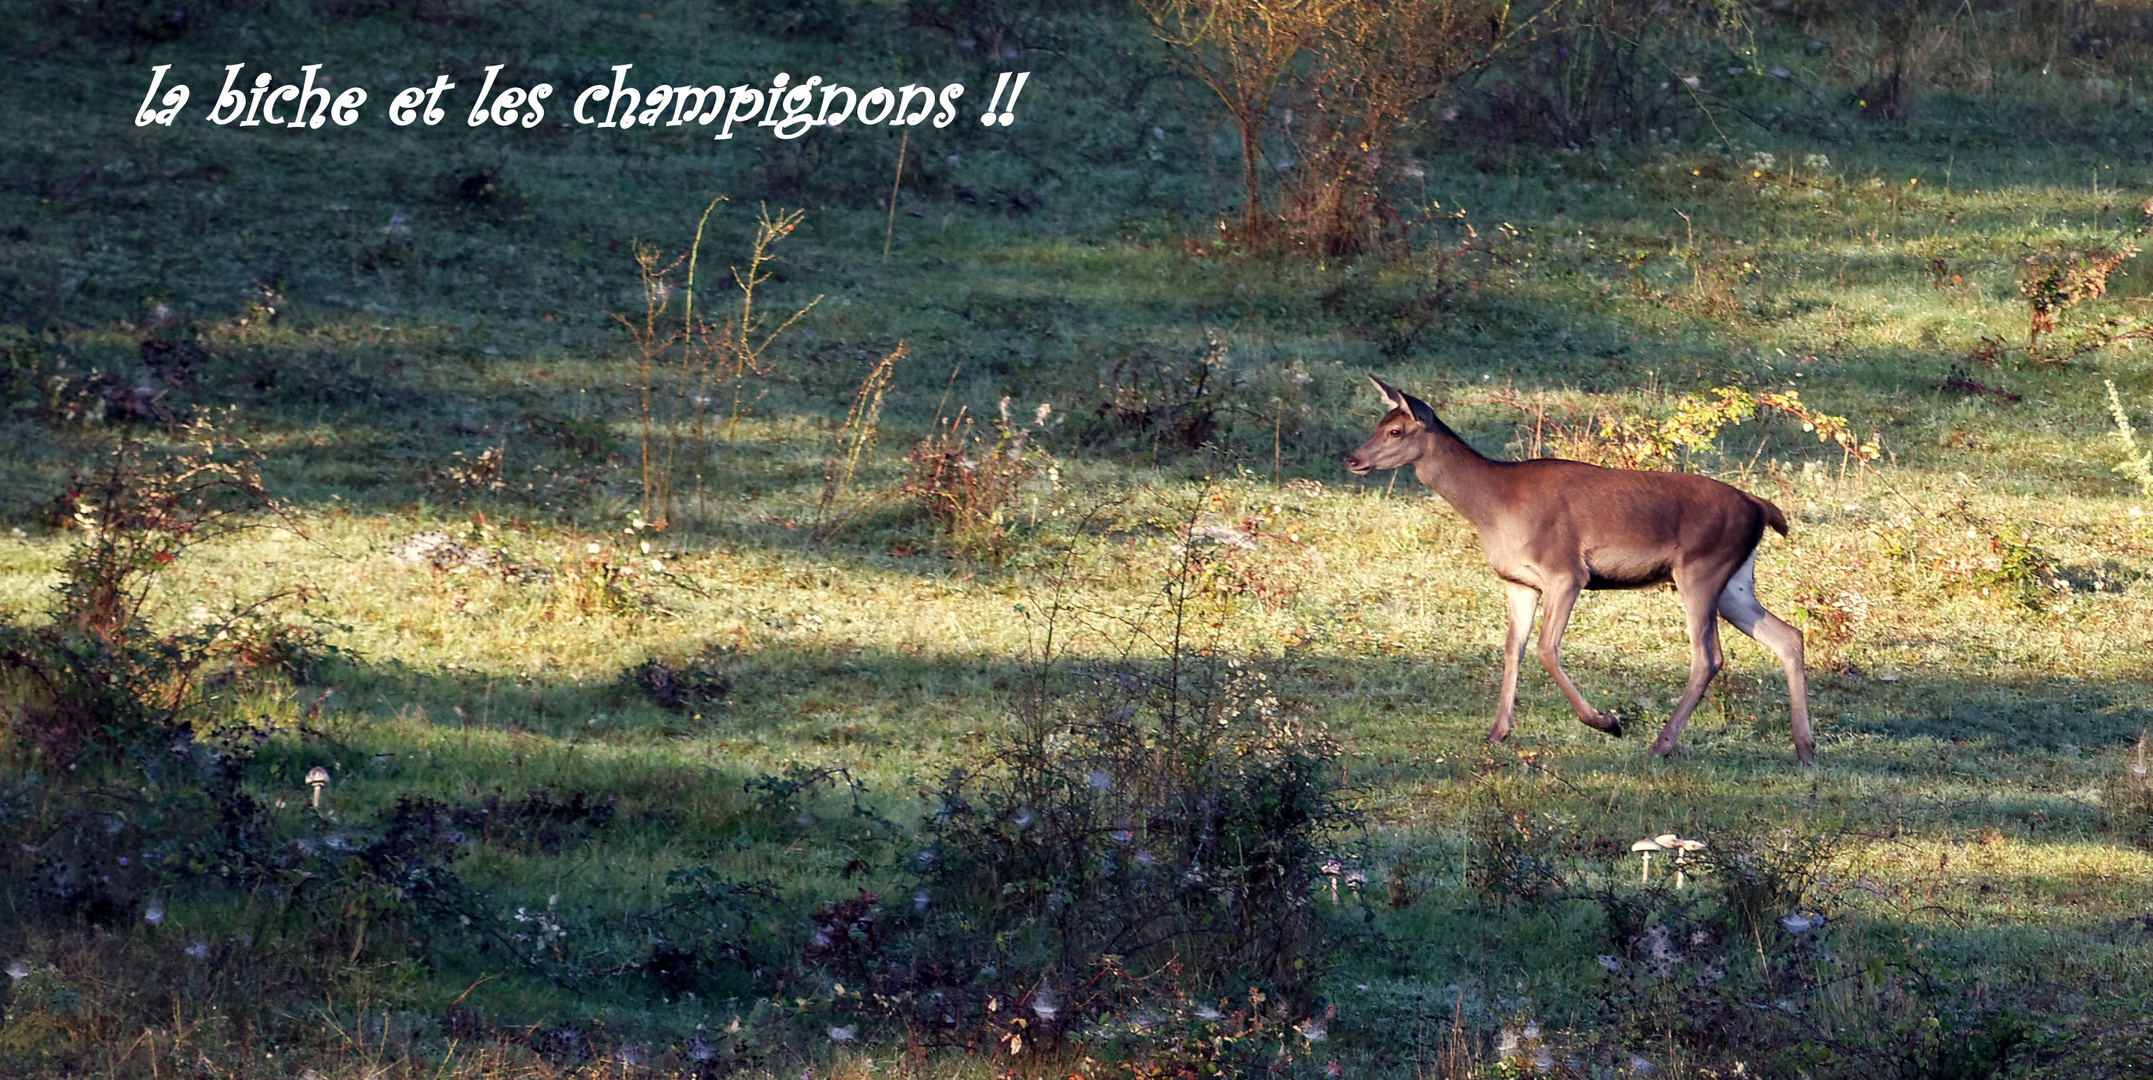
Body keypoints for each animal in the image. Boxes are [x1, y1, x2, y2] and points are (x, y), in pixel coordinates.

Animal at [1343, 376, 1817, 761]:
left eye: (1395, 430)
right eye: (1376, 423)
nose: (1352, 458)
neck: (1492, 507)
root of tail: (1761, 507)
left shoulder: (1566, 571)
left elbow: (1545, 649)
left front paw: (1607, 722)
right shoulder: (1519, 581)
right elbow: (1512, 648)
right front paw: (1497, 732)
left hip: (1701, 569)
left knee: (1709, 656)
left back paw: (1662, 743)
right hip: (1734, 582)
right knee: (1788, 636)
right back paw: (1804, 748)